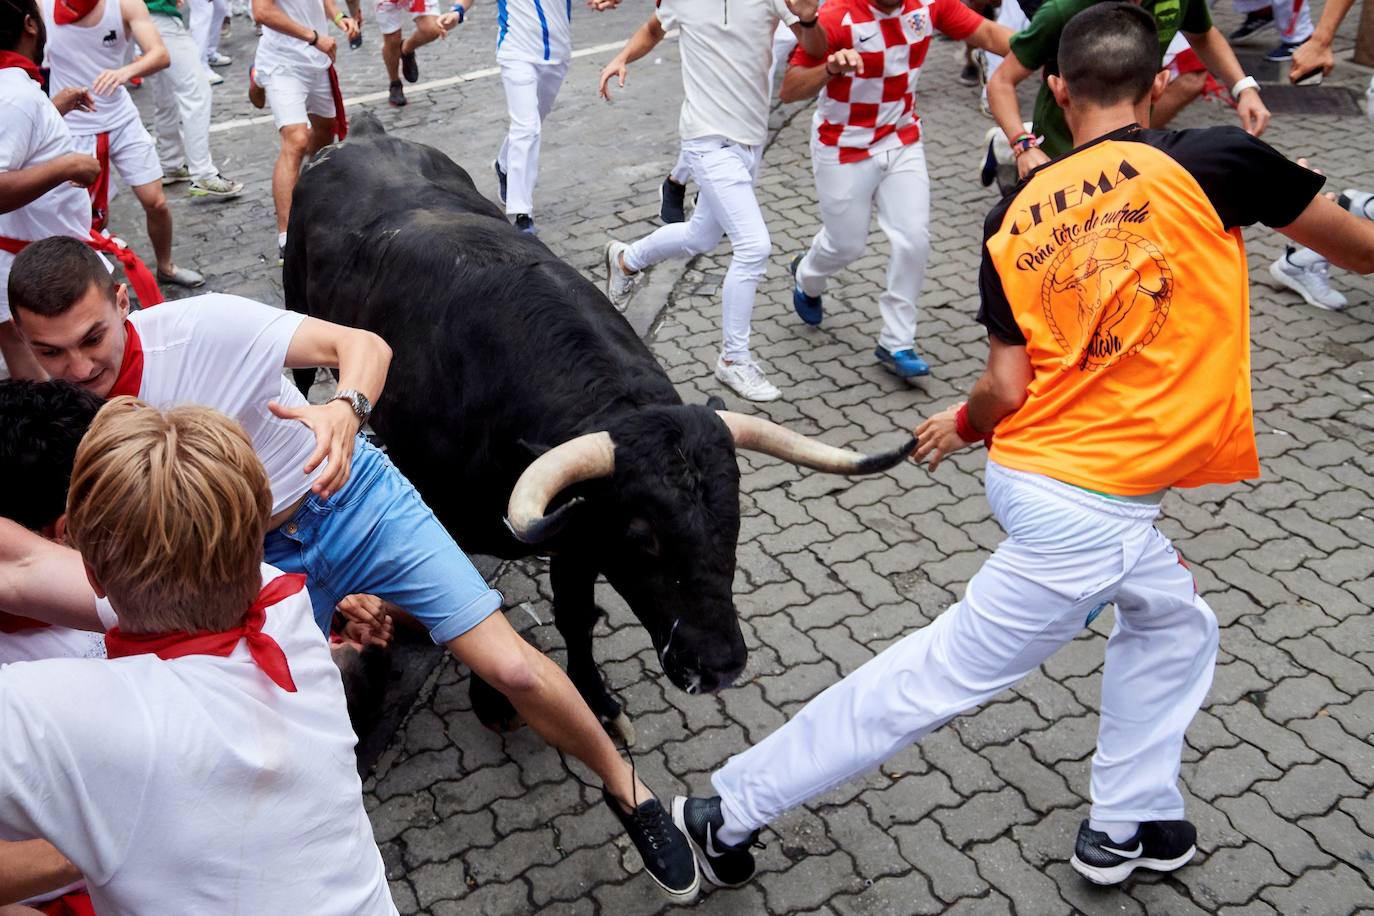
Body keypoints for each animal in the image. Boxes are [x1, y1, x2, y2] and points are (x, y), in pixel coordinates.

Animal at [284, 116, 912, 747]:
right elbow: (473, 613)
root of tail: (364, 135)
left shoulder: (579, 530)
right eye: (641, 536)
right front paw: (493, 700)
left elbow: (576, 616)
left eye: (734, 519)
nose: (719, 666)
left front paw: (599, 701)